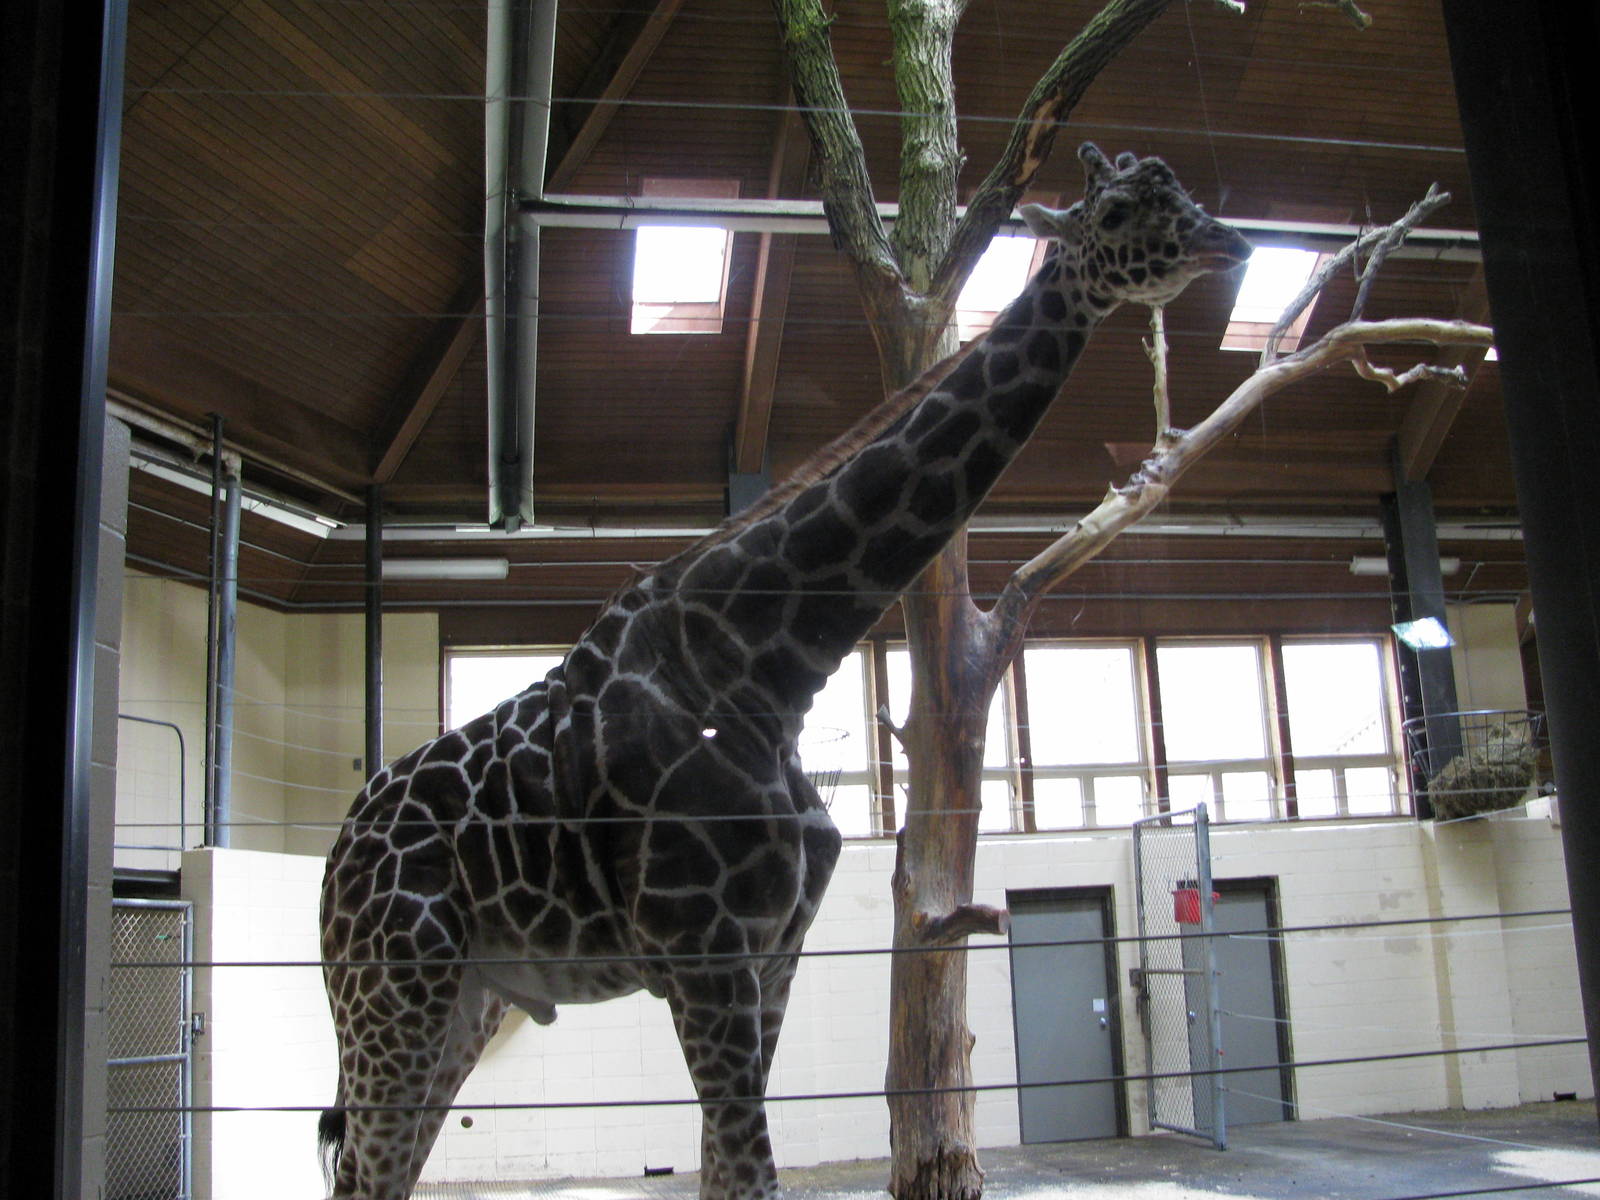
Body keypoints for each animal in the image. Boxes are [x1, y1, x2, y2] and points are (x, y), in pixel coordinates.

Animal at [317, 142, 1251, 1200]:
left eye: (1181, 191)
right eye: (1125, 209)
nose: (1230, 242)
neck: (768, 666)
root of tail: (335, 856)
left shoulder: (773, 952)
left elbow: (729, 1175)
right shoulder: (704, 952)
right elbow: (748, 1171)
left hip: (467, 995)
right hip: (392, 981)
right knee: (363, 1171)